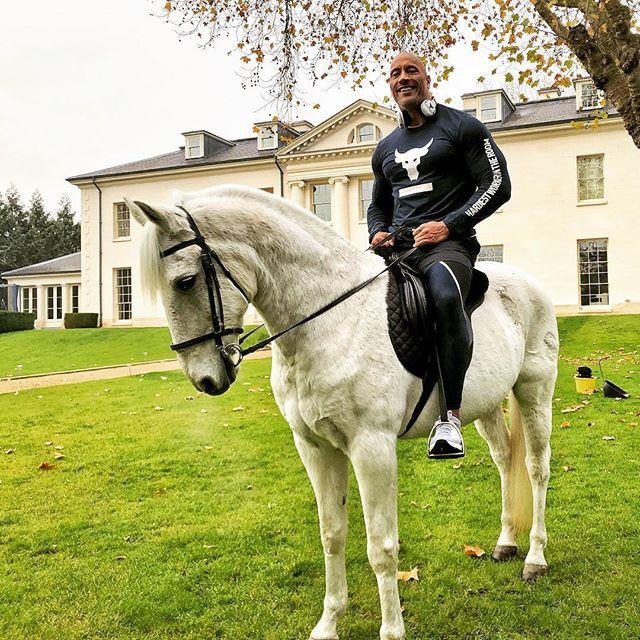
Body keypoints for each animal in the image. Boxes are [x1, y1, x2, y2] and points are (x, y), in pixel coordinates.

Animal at [125, 185, 556, 640]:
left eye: (185, 281)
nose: (204, 379)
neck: (329, 319)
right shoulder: (315, 446)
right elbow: (332, 535)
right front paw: (329, 623)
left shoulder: (372, 448)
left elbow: (381, 546)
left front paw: (391, 631)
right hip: (486, 405)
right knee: (506, 461)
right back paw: (507, 541)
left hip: (534, 390)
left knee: (536, 468)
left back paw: (535, 558)